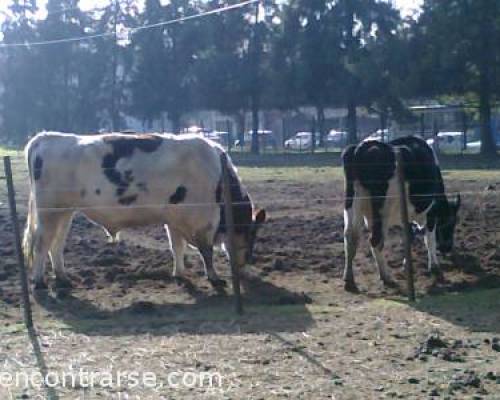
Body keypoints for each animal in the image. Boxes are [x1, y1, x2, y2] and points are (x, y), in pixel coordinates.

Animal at [24, 131, 266, 290]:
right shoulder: (202, 221)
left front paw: (179, 274)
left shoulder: (175, 218)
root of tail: (46, 137)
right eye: (252, 234)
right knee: (42, 244)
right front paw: (214, 278)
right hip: (49, 212)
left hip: (64, 212)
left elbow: (177, 247)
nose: (246, 266)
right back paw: (39, 281)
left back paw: (63, 277)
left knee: (56, 244)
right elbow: (205, 252)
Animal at [340, 136, 460, 292]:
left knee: (350, 238)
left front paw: (407, 265)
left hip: (352, 205)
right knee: (375, 241)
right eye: (451, 223)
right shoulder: (431, 214)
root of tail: (362, 147)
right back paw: (386, 277)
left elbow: (409, 237)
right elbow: (429, 239)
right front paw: (434, 266)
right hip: (382, 212)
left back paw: (349, 280)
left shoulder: (406, 217)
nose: (448, 248)